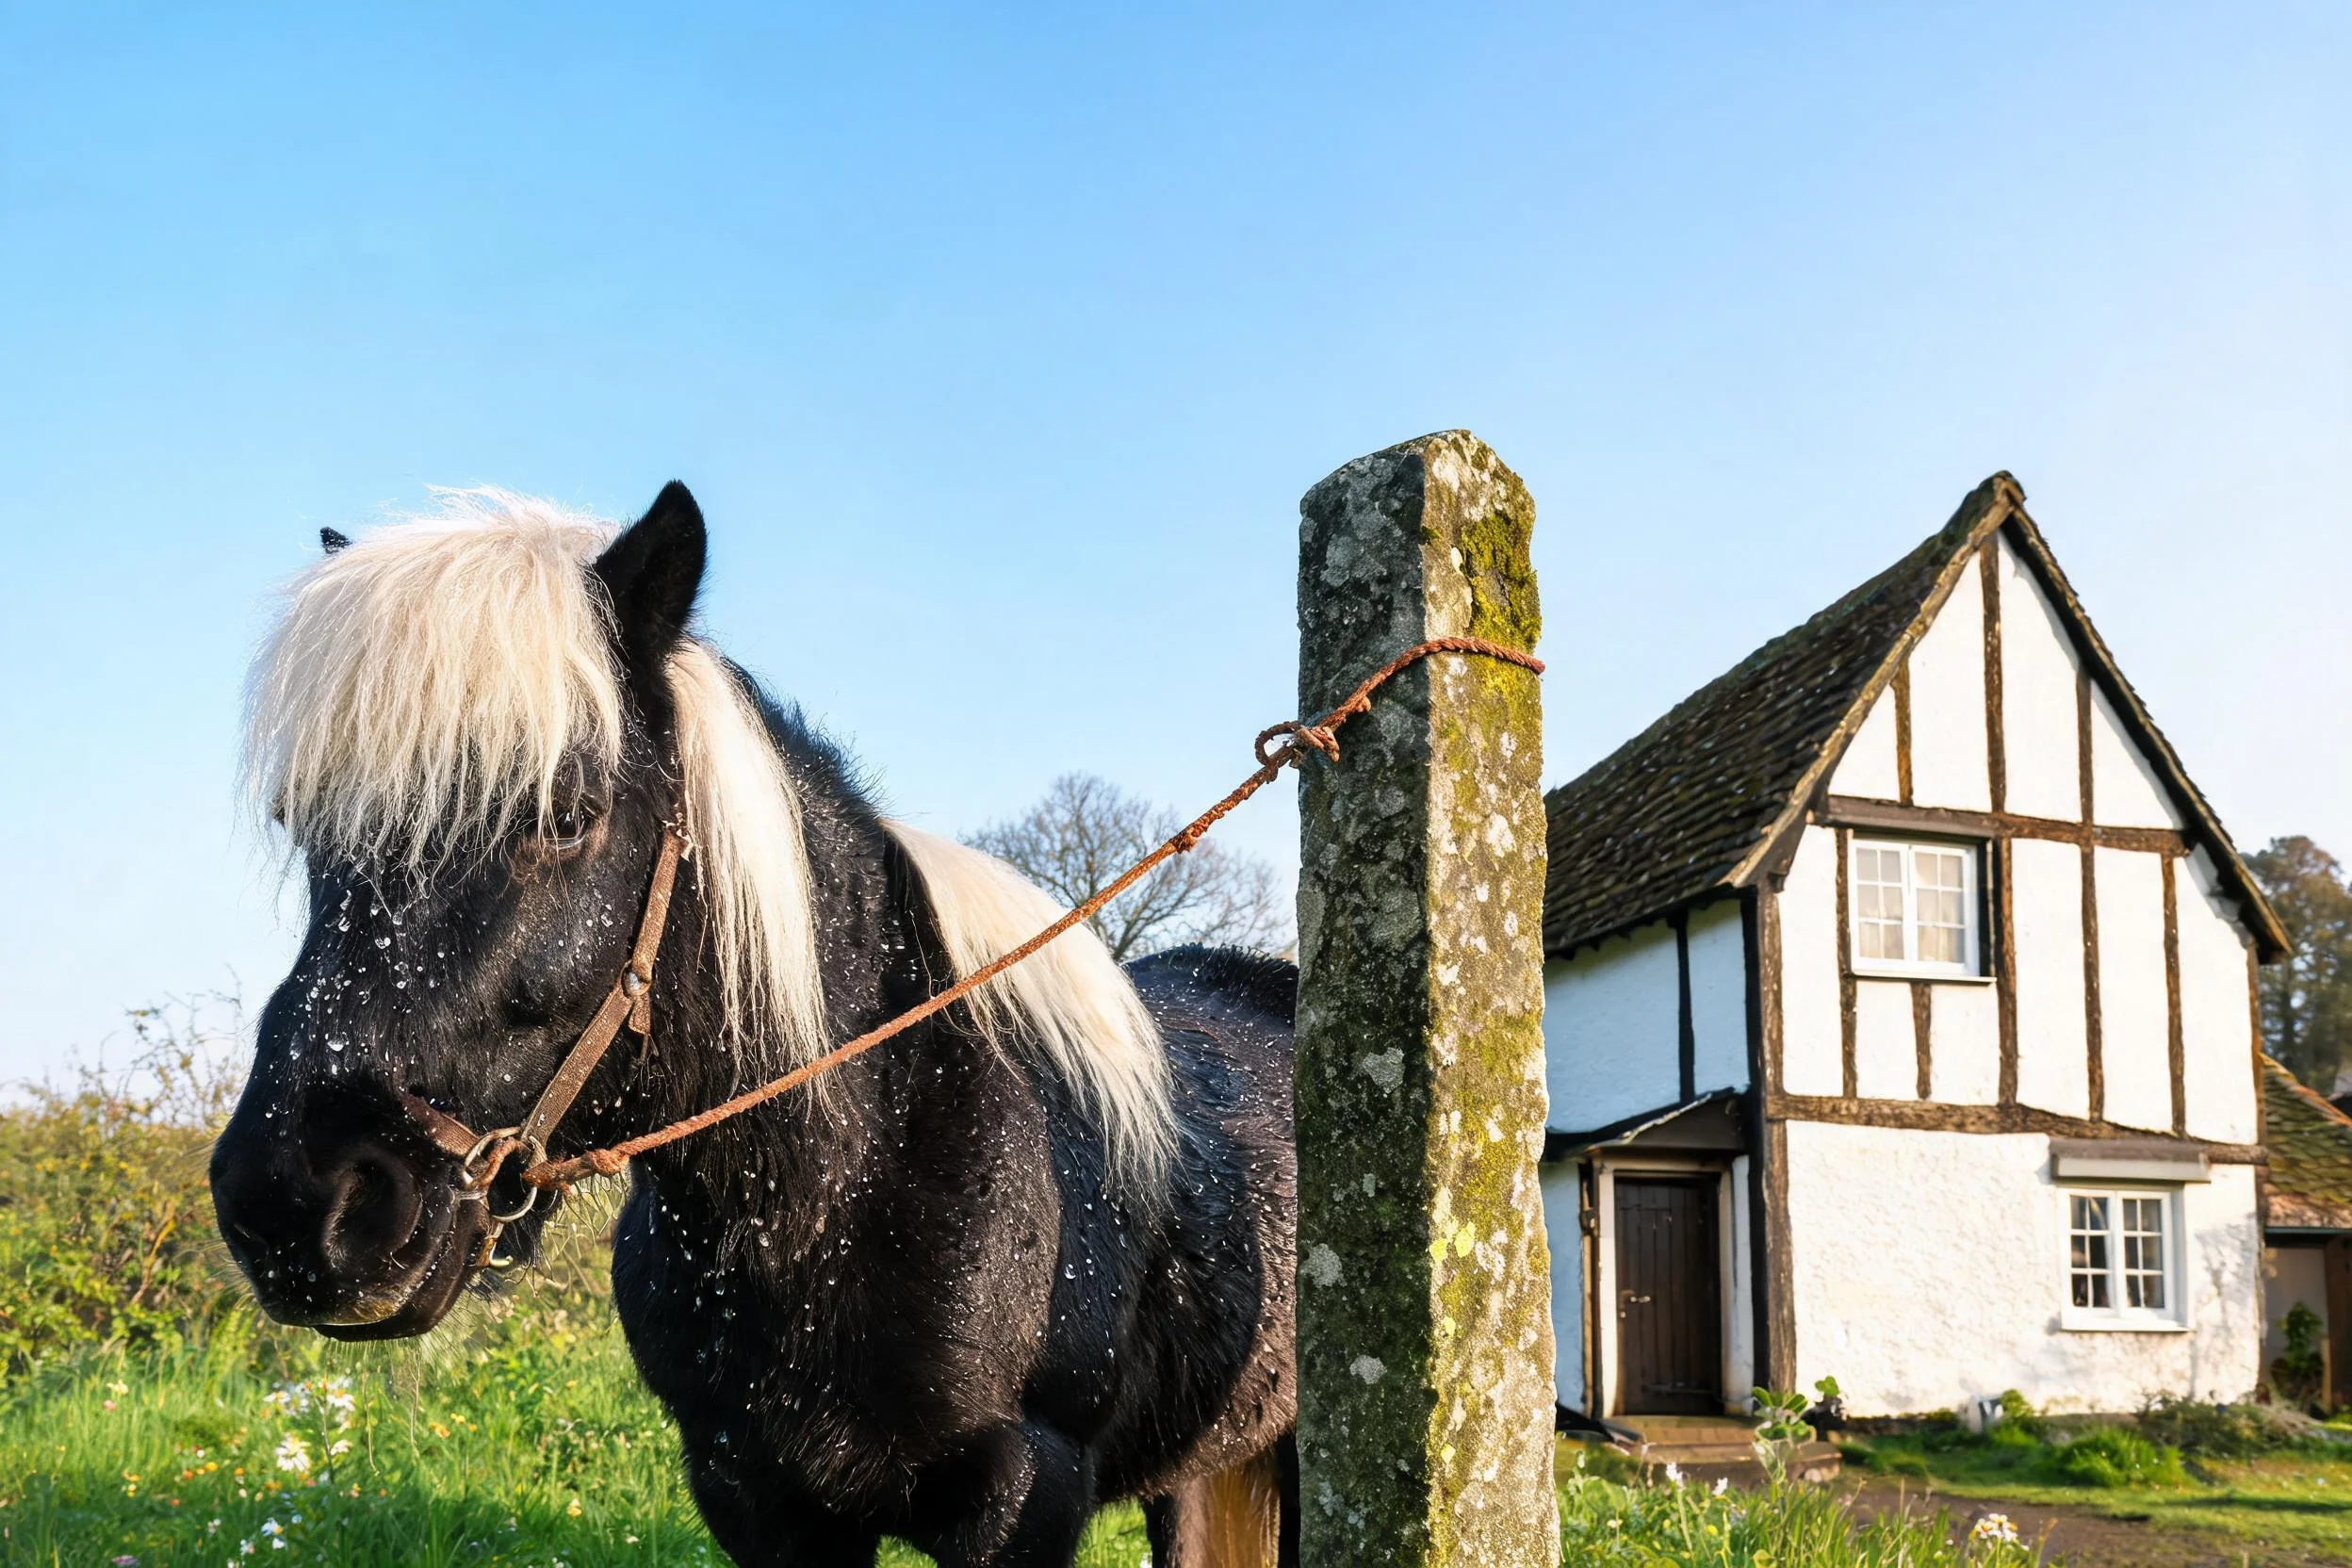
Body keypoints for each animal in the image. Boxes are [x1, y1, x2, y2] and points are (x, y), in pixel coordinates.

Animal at [207, 483, 1300, 1567]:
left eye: (567, 814)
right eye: (305, 829)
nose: (294, 1201)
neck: (856, 1181)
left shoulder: (1022, 1501)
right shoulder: (758, 1500)